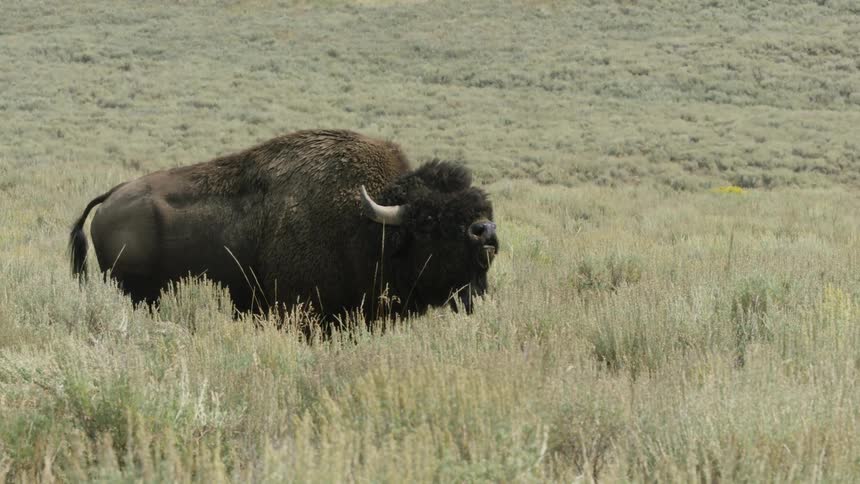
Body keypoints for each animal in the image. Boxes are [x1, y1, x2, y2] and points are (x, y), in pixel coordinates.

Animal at [69, 129, 498, 325]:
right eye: (428, 219)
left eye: (482, 205)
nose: (486, 232)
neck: (368, 225)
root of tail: (111, 196)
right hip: (136, 290)